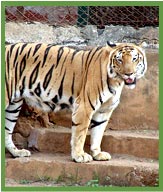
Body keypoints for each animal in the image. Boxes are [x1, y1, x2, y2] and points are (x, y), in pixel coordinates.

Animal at [5, 41, 147, 163]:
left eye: (135, 59)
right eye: (120, 59)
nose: (129, 73)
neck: (117, 81)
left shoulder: (104, 110)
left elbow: (98, 132)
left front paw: (97, 154)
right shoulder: (85, 106)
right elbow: (80, 133)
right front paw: (79, 156)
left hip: (14, 106)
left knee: (6, 131)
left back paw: (17, 153)